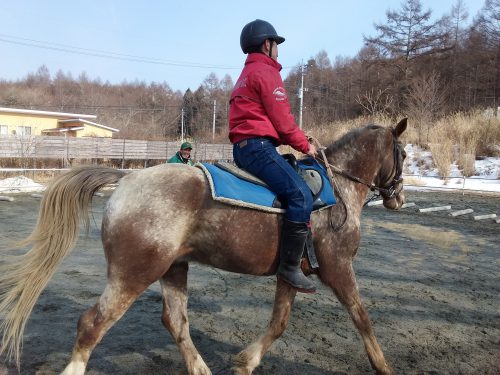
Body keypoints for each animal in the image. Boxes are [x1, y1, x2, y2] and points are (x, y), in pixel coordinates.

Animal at [0, 118, 406, 375]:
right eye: (402, 154)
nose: (398, 199)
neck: (338, 188)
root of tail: (129, 178)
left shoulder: (291, 275)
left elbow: (278, 324)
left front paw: (246, 362)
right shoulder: (338, 268)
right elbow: (362, 317)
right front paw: (384, 366)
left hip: (172, 268)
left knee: (175, 321)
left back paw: (200, 368)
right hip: (133, 274)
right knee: (92, 324)